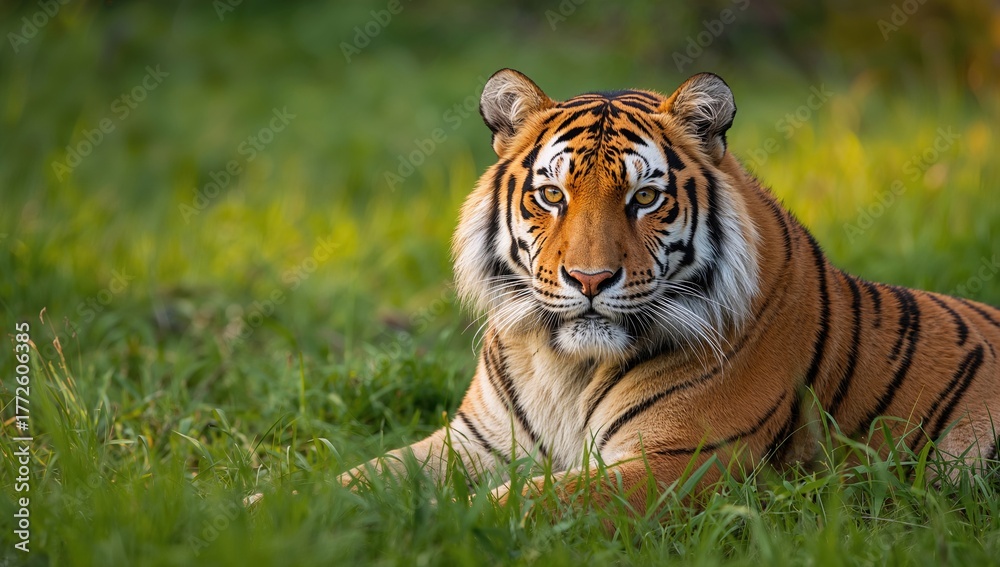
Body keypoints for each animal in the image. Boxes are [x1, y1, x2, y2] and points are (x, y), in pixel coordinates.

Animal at [340, 68, 1000, 514]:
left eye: (645, 197)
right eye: (552, 195)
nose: (590, 280)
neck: (564, 366)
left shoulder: (682, 461)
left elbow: (522, 503)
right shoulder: (473, 442)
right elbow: (361, 475)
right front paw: (323, 510)